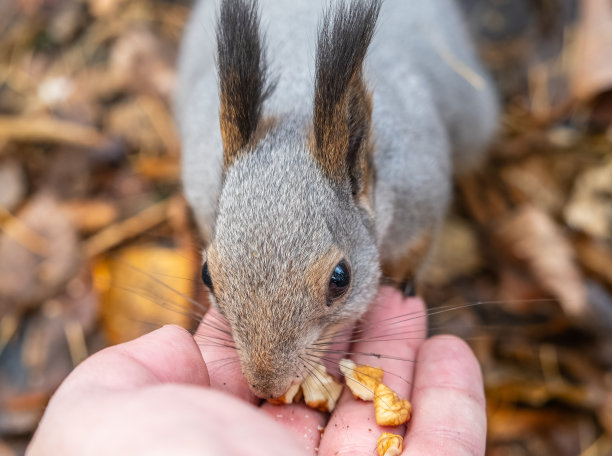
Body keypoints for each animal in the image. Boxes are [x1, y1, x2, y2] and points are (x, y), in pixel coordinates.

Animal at [175, 0, 500, 400]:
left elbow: (418, 248)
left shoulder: (421, 197)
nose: (267, 386)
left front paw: (404, 279)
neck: (297, 110)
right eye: (207, 275)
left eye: (340, 279)